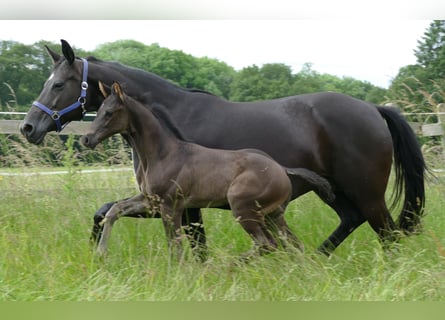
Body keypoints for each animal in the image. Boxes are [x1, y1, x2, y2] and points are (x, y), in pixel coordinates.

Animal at [20, 40, 424, 258]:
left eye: (58, 84)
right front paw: (96, 252)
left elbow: (193, 246)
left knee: (387, 233)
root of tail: (374, 108)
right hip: (335, 190)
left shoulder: (181, 204)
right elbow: (103, 211)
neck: (169, 119)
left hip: (366, 192)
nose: (28, 127)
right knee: (350, 221)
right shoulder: (164, 201)